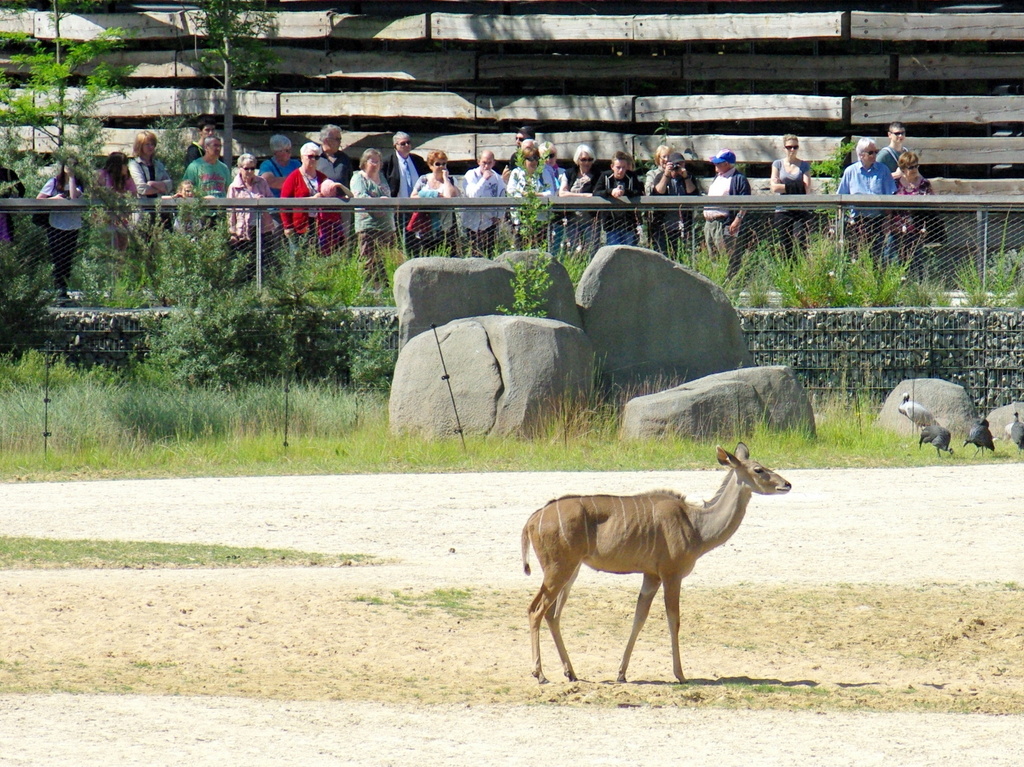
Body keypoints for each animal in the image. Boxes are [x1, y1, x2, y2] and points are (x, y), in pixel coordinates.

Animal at [520, 440, 790, 684]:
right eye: (758, 469)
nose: (786, 484)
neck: (696, 526)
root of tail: (532, 520)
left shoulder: (651, 575)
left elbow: (639, 617)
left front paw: (621, 674)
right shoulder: (672, 574)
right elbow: (674, 619)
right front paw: (680, 675)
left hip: (571, 571)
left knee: (552, 614)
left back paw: (571, 673)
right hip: (558, 570)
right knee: (536, 609)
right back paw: (540, 674)